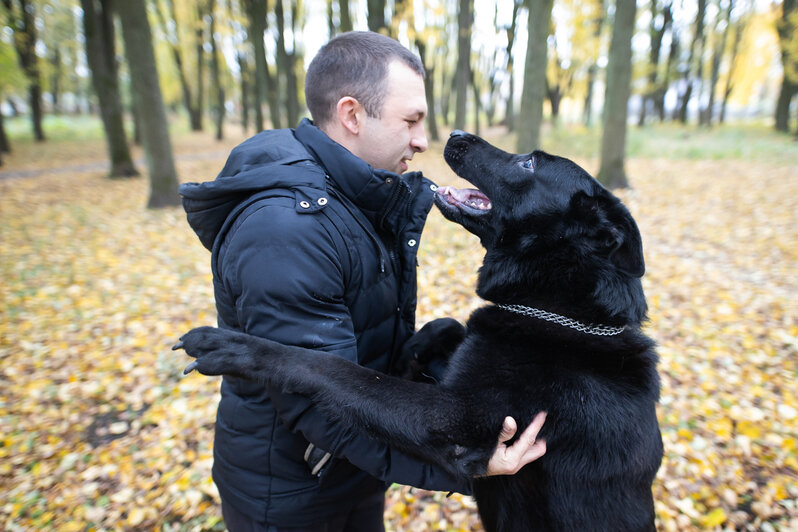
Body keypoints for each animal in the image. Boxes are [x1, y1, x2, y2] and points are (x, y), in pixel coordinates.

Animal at [175, 131, 664, 528]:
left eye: (529, 164)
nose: (456, 133)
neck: (563, 311)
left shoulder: (452, 418)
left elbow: (333, 369)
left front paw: (234, 347)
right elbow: (443, 326)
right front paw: (410, 352)